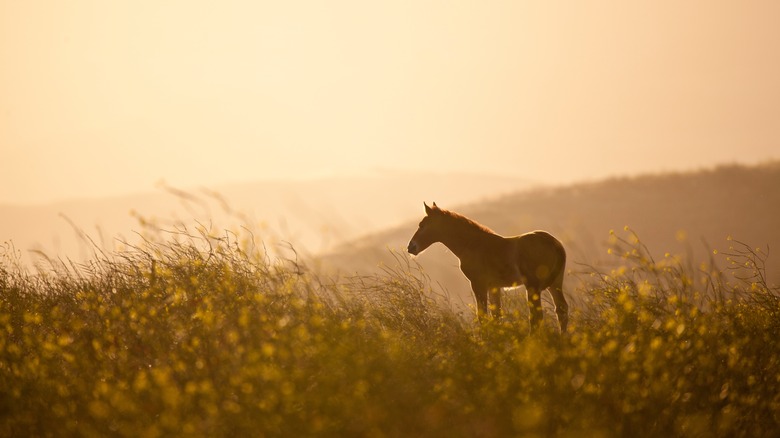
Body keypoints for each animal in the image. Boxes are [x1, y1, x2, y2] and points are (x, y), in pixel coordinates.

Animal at [408, 203, 568, 332]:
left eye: (422, 225)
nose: (411, 247)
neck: (473, 244)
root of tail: (553, 242)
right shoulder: (494, 287)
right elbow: (496, 316)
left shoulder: (478, 284)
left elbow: (483, 316)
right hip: (555, 283)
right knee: (561, 310)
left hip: (533, 286)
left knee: (536, 316)